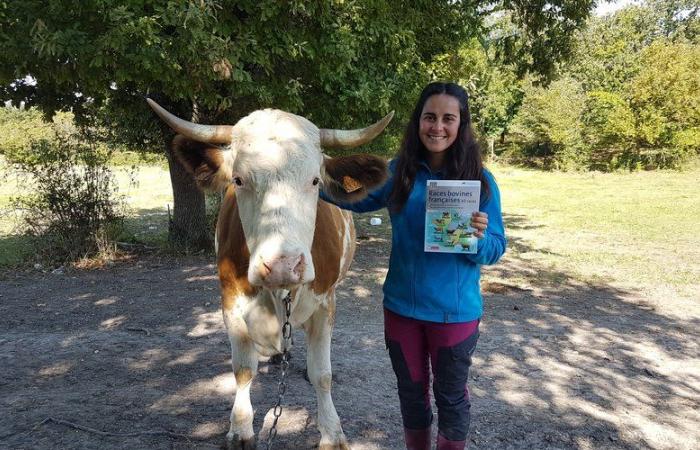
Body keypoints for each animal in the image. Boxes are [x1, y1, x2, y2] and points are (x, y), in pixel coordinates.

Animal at [146, 99, 394, 450]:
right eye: (238, 180)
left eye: (315, 181)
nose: (282, 265)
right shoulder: (230, 302)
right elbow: (242, 369)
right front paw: (240, 429)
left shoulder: (325, 303)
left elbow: (322, 374)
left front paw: (332, 432)